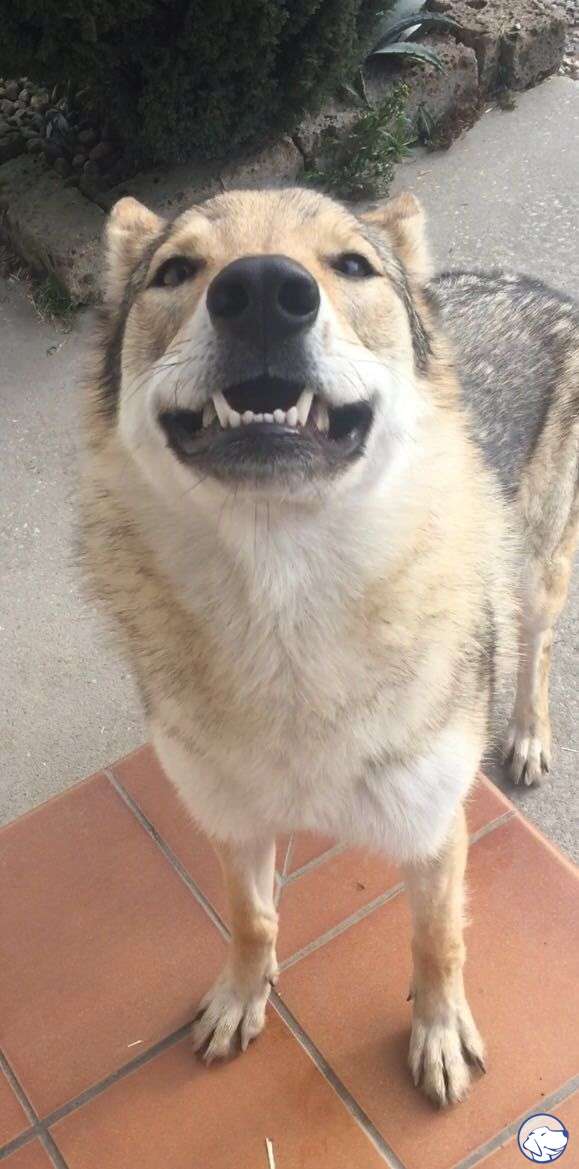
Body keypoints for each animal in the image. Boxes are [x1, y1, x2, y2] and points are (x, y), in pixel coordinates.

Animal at [79, 187, 578, 1106]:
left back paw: (528, 733)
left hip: (535, 569)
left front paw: (437, 1034)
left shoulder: (435, 827)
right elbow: (251, 918)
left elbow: (435, 943)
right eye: (176, 271)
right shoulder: (229, 819)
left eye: (350, 265)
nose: (262, 291)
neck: (286, 614)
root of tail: (529, 285)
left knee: (537, 647)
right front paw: (241, 996)